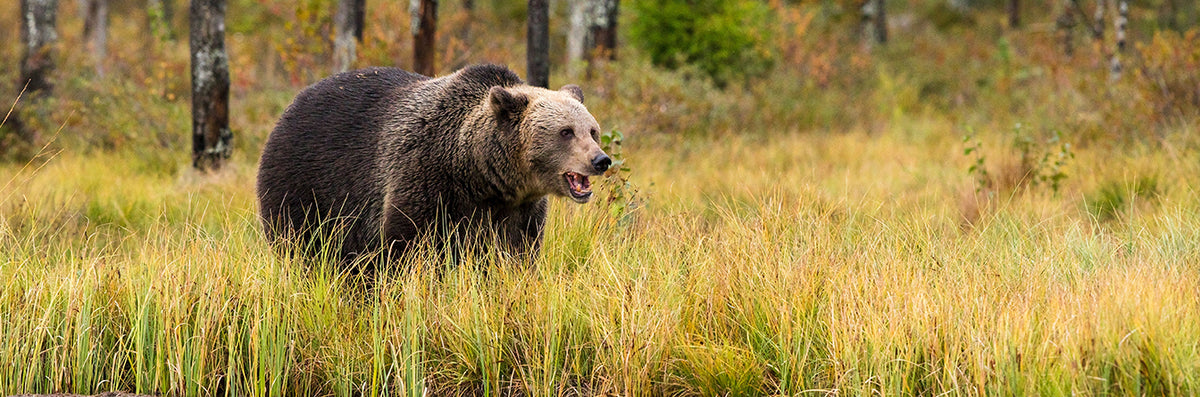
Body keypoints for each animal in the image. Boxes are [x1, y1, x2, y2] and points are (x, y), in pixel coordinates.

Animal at [254, 64, 609, 263]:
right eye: (566, 132)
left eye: (592, 130)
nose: (600, 160)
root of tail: (291, 105)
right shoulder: (425, 179)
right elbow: (404, 246)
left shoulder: (519, 211)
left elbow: (516, 254)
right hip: (305, 186)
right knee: (302, 246)